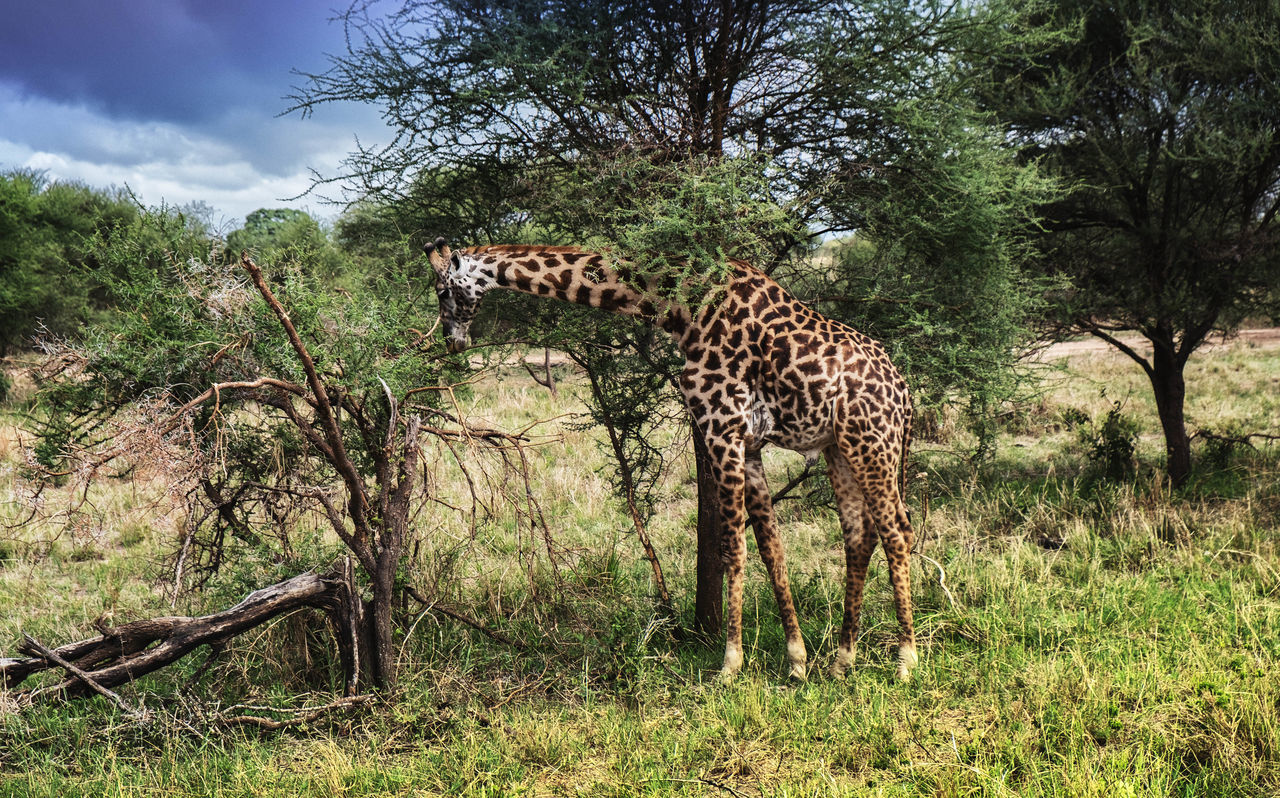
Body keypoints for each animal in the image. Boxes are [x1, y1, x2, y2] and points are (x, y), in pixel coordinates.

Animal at [424, 238, 916, 681]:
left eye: (444, 291)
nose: (452, 341)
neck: (679, 307)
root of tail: (906, 396)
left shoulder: (720, 424)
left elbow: (732, 545)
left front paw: (730, 667)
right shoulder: (750, 441)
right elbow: (770, 546)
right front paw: (797, 662)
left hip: (873, 443)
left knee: (898, 531)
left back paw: (906, 662)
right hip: (840, 449)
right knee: (859, 536)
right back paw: (841, 662)